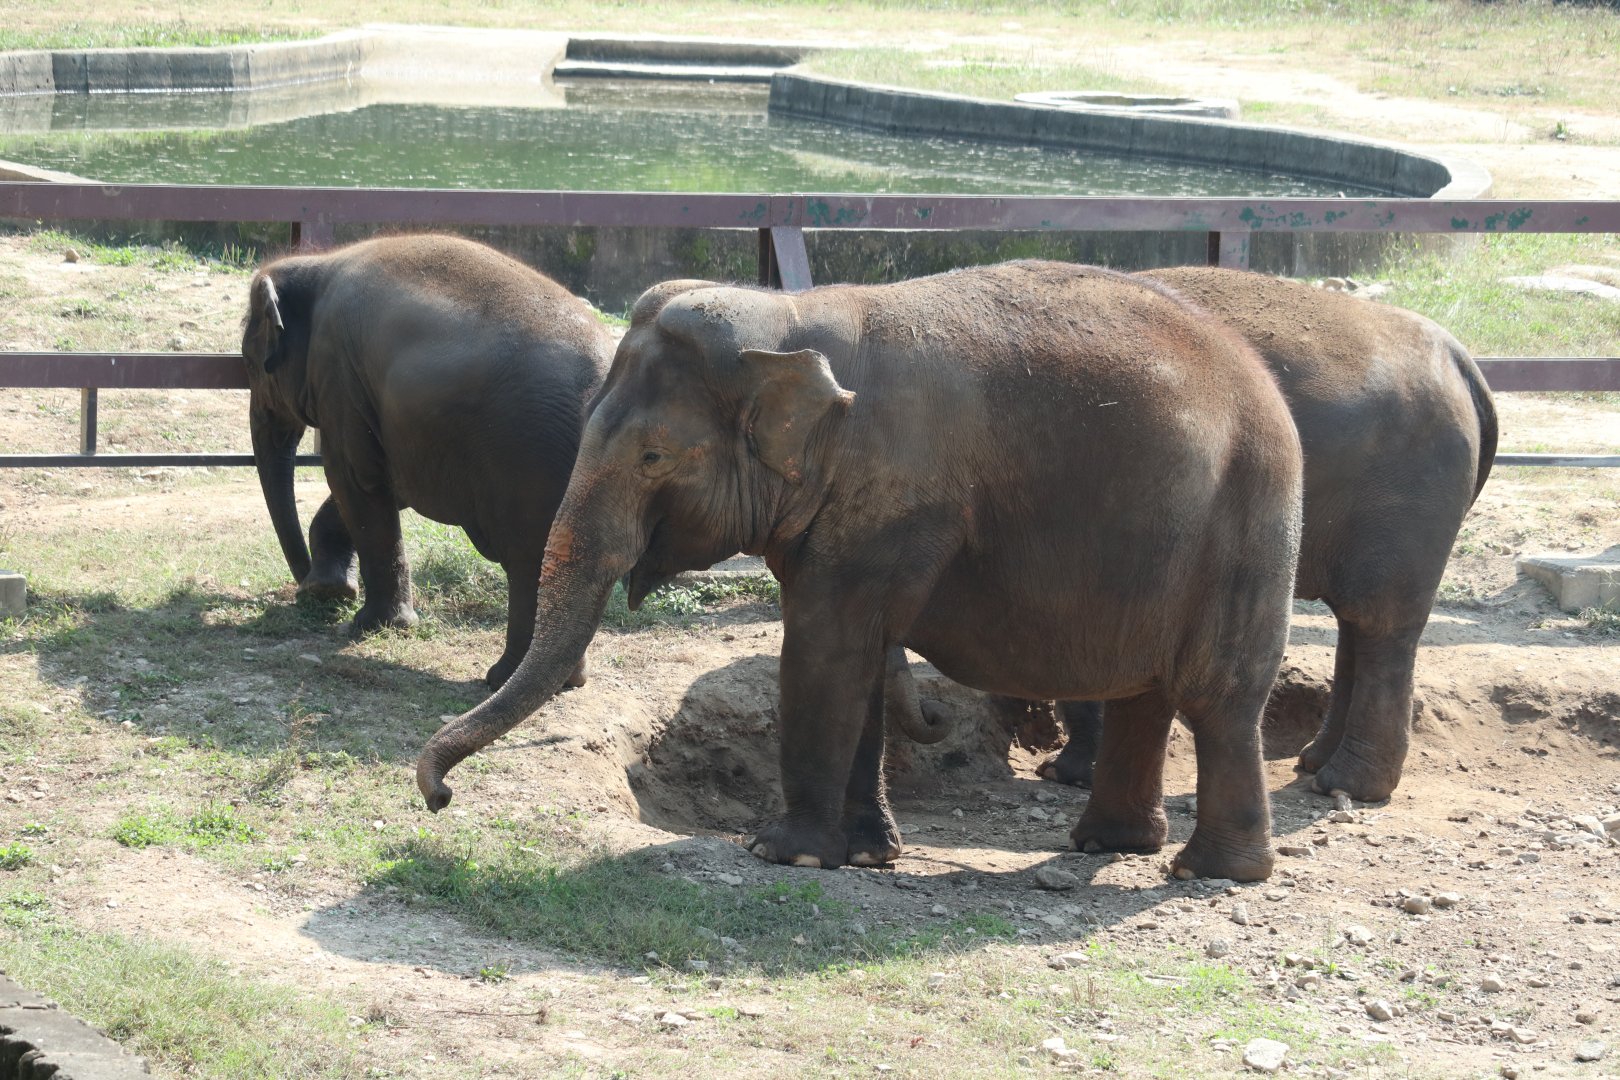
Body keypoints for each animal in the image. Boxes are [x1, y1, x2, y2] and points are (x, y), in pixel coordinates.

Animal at [243, 234, 615, 688]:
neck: (316, 265)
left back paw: (503, 678)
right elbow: (386, 485)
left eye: (251, 364)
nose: (302, 586)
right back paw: (561, 680)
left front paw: (368, 622)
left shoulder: (339, 375)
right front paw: (334, 593)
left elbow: (355, 479)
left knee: (528, 558)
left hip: (532, 455)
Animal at [415, 261, 1304, 881]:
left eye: (653, 457)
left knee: (1218, 699)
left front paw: (783, 854)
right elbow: (861, 656)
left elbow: (824, 649)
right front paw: (868, 855)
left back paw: (1209, 872)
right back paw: (1107, 844)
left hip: (1247, 528)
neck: (793, 319)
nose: (437, 797)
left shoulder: (888, 496)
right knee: (1146, 695)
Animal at [889, 266, 1498, 803]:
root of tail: (1461, 360)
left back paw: (1343, 785)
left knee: (1381, 621)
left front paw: (1067, 775)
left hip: (1408, 497)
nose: (938, 720)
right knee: (1356, 620)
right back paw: (1313, 763)